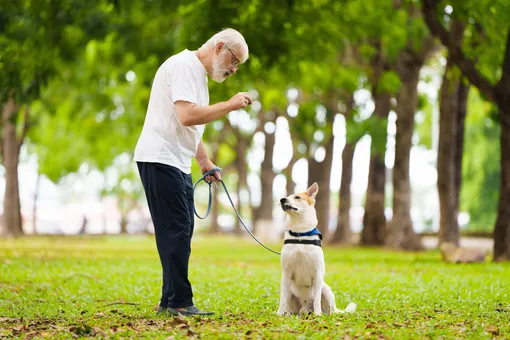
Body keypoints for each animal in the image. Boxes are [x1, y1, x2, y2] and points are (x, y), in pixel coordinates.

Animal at [276, 183, 356, 316]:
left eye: (297, 197)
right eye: (287, 196)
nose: (282, 199)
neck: (300, 234)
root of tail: (305, 308)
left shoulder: (317, 273)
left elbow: (317, 298)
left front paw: (318, 314)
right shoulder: (286, 274)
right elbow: (282, 299)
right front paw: (279, 314)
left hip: (326, 289)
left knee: (331, 308)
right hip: (291, 292)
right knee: (288, 303)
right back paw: (288, 313)